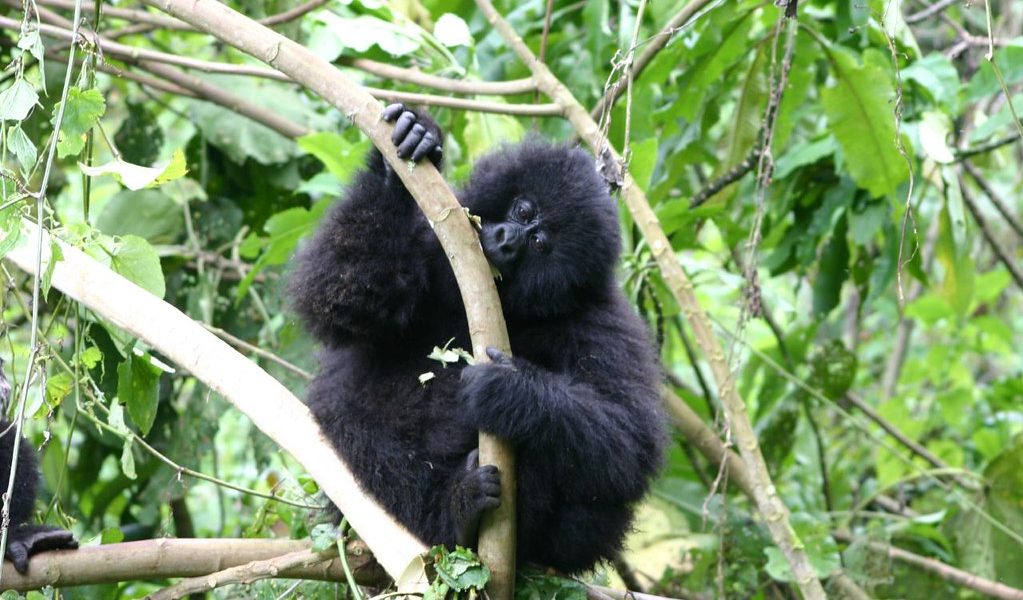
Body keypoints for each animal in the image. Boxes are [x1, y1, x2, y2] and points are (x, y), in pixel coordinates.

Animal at [292, 104, 666, 572]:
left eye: (540, 243)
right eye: (523, 210)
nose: (506, 239)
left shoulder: (602, 320)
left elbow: (630, 443)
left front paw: (514, 392)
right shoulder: (431, 243)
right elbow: (339, 293)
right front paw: (404, 154)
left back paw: (461, 513)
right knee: (350, 427)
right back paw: (454, 509)